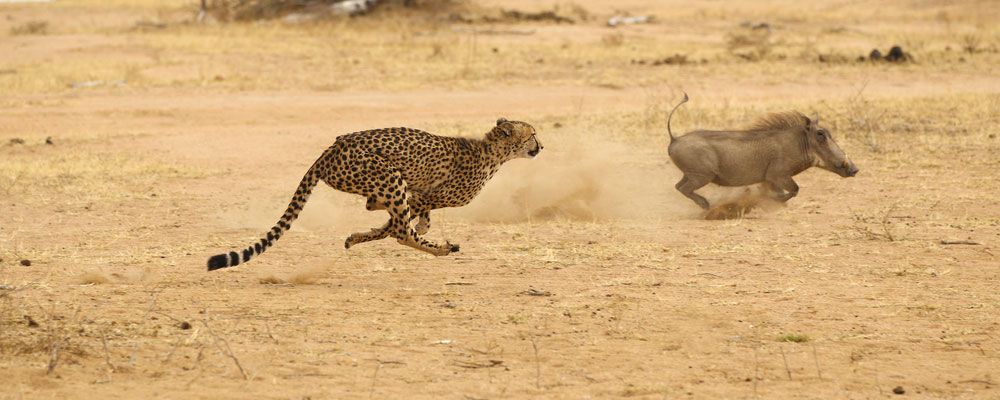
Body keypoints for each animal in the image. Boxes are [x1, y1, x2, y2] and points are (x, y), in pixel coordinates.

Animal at [206, 117, 544, 270]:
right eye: (532, 134)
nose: (541, 146)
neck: (492, 153)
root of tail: (332, 148)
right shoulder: (422, 195)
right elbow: (396, 225)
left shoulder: (418, 194)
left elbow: (400, 219)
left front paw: (362, 235)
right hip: (389, 175)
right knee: (401, 232)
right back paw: (441, 249)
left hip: (384, 180)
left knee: (381, 212)